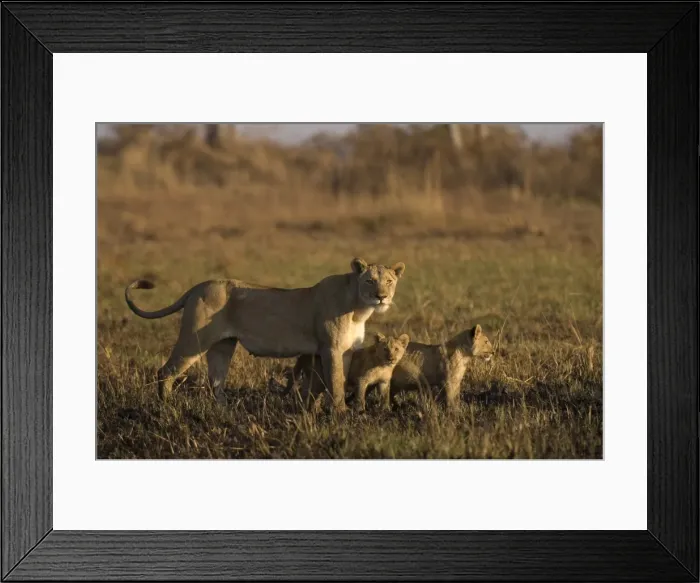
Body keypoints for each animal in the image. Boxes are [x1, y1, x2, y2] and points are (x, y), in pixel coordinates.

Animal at [124, 257, 406, 412]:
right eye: (369, 281)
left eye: (389, 281)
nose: (382, 297)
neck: (359, 308)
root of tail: (197, 287)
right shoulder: (331, 349)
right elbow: (335, 383)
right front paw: (340, 414)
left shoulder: (340, 351)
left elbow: (325, 383)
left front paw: (314, 411)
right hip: (195, 339)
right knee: (166, 371)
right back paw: (166, 406)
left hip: (223, 345)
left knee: (216, 381)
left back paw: (224, 412)